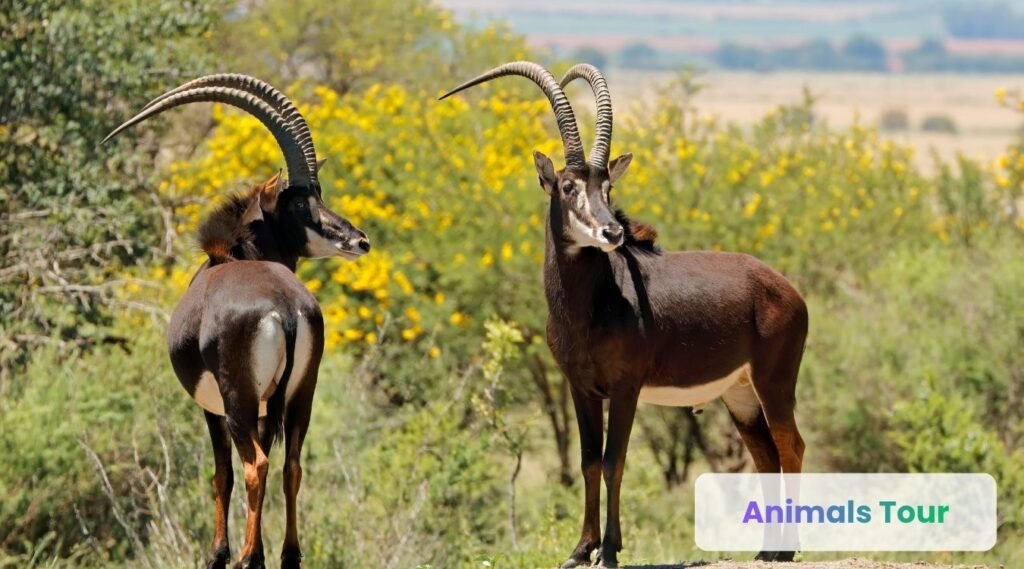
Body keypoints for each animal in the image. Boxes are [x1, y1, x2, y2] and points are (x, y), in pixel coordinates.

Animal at [104, 74, 370, 569]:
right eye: (302, 204)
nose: (360, 240)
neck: (231, 255)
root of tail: (284, 305)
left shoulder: (210, 408)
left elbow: (220, 474)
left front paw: (220, 553)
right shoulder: (271, 407)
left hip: (237, 401)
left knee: (254, 465)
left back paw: (246, 556)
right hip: (301, 395)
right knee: (290, 464)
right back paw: (287, 554)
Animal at [441, 62, 807, 567]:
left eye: (608, 186)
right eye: (569, 185)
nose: (612, 231)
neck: (589, 308)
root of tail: (788, 290)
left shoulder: (626, 388)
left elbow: (615, 460)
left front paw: (610, 549)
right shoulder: (580, 387)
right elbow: (589, 460)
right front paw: (581, 549)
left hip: (774, 384)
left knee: (791, 446)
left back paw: (788, 549)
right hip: (741, 395)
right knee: (766, 455)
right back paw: (768, 551)